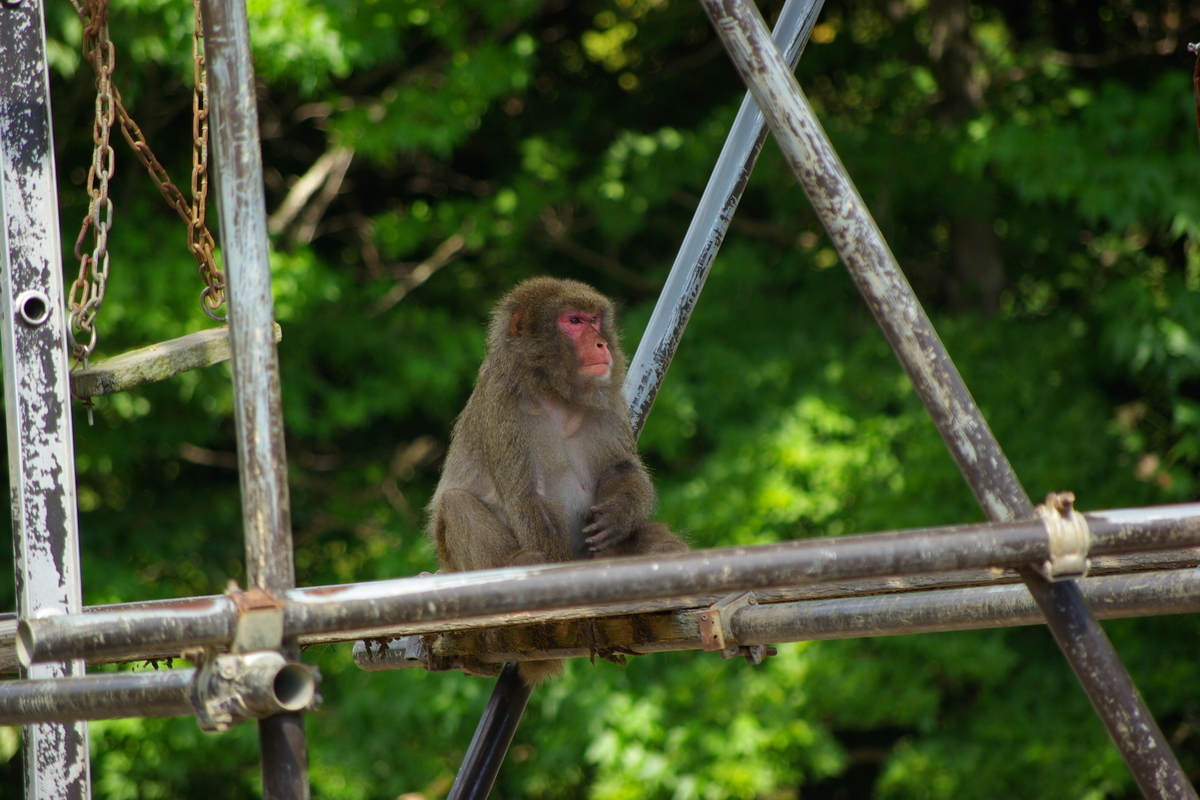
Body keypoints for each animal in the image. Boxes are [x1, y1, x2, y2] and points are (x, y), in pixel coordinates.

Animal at [432, 277, 691, 681]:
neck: (555, 394)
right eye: (573, 321)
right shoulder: (504, 410)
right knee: (456, 504)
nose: (600, 344)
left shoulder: (608, 399)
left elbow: (621, 469)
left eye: (595, 320)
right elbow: (529, 500)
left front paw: (617, 514)